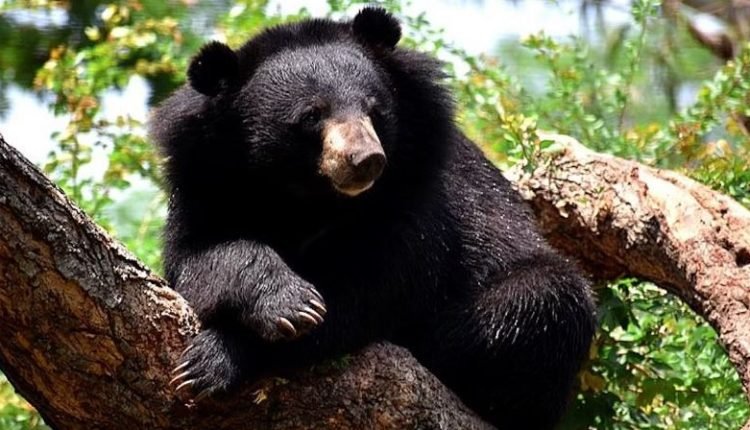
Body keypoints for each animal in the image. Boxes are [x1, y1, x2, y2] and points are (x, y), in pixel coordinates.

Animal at [149, 7, 596, 429]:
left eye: (374, 109)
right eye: (311, 115)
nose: (366, 160)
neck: (307, 197)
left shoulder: (414, 201)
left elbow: (365, 292)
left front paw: (217, 358)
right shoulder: (205, 184)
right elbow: (199, 258)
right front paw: (287, 302)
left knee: (544, 297)